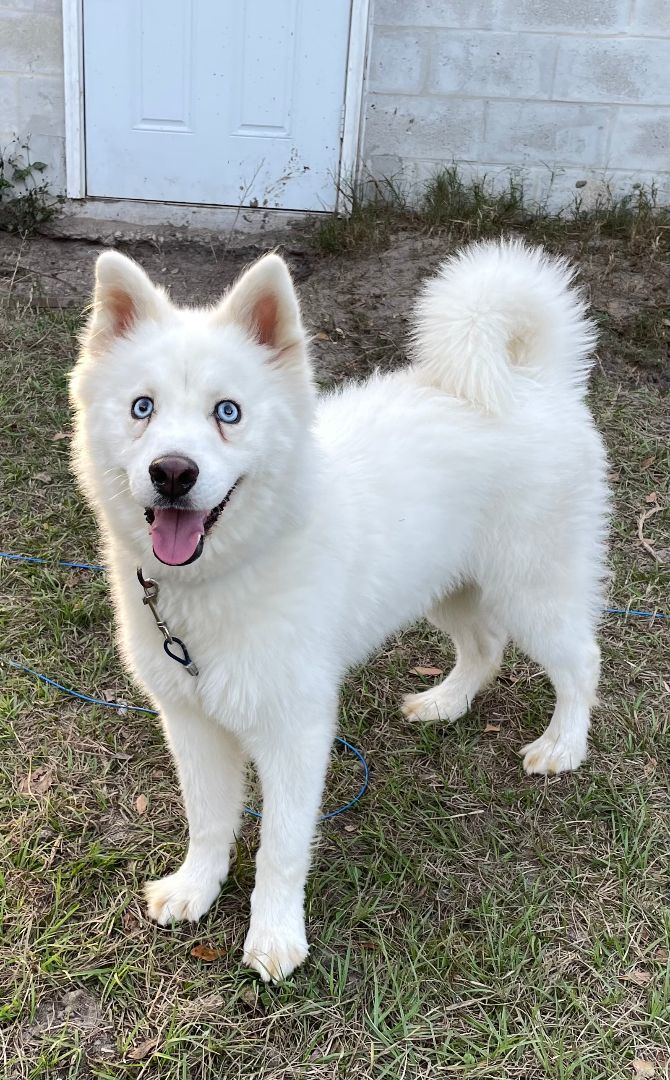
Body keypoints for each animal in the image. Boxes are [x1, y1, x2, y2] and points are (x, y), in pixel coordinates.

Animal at [70, 240, 609, 984]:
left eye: (228, 412)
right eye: (142, 407)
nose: (173, 473)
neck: (225, 574)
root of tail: (535, 379)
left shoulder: (296, 731)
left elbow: (280, 847)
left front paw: (274, 937)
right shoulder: (192, 722)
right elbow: (208, 822)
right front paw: (195, 889)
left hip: (532, 591)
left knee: (581, 661)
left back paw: (563, 746)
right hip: (447, 588)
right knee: (484, 647)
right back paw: (445, 703)